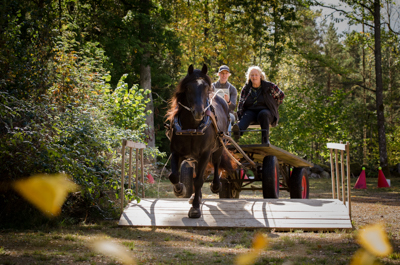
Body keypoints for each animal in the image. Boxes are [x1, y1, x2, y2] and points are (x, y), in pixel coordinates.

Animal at [166, 65, 230, 218]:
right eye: (189, 87)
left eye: (206, 88)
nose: (199, 112)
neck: (192, 127)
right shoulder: (176, 152)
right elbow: (174, 175)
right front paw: (180, 190)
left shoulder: (205, 154)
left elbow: (199, 180)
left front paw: (195, 208)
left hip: (219, 146)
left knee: (216, 163)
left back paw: (215, 185)